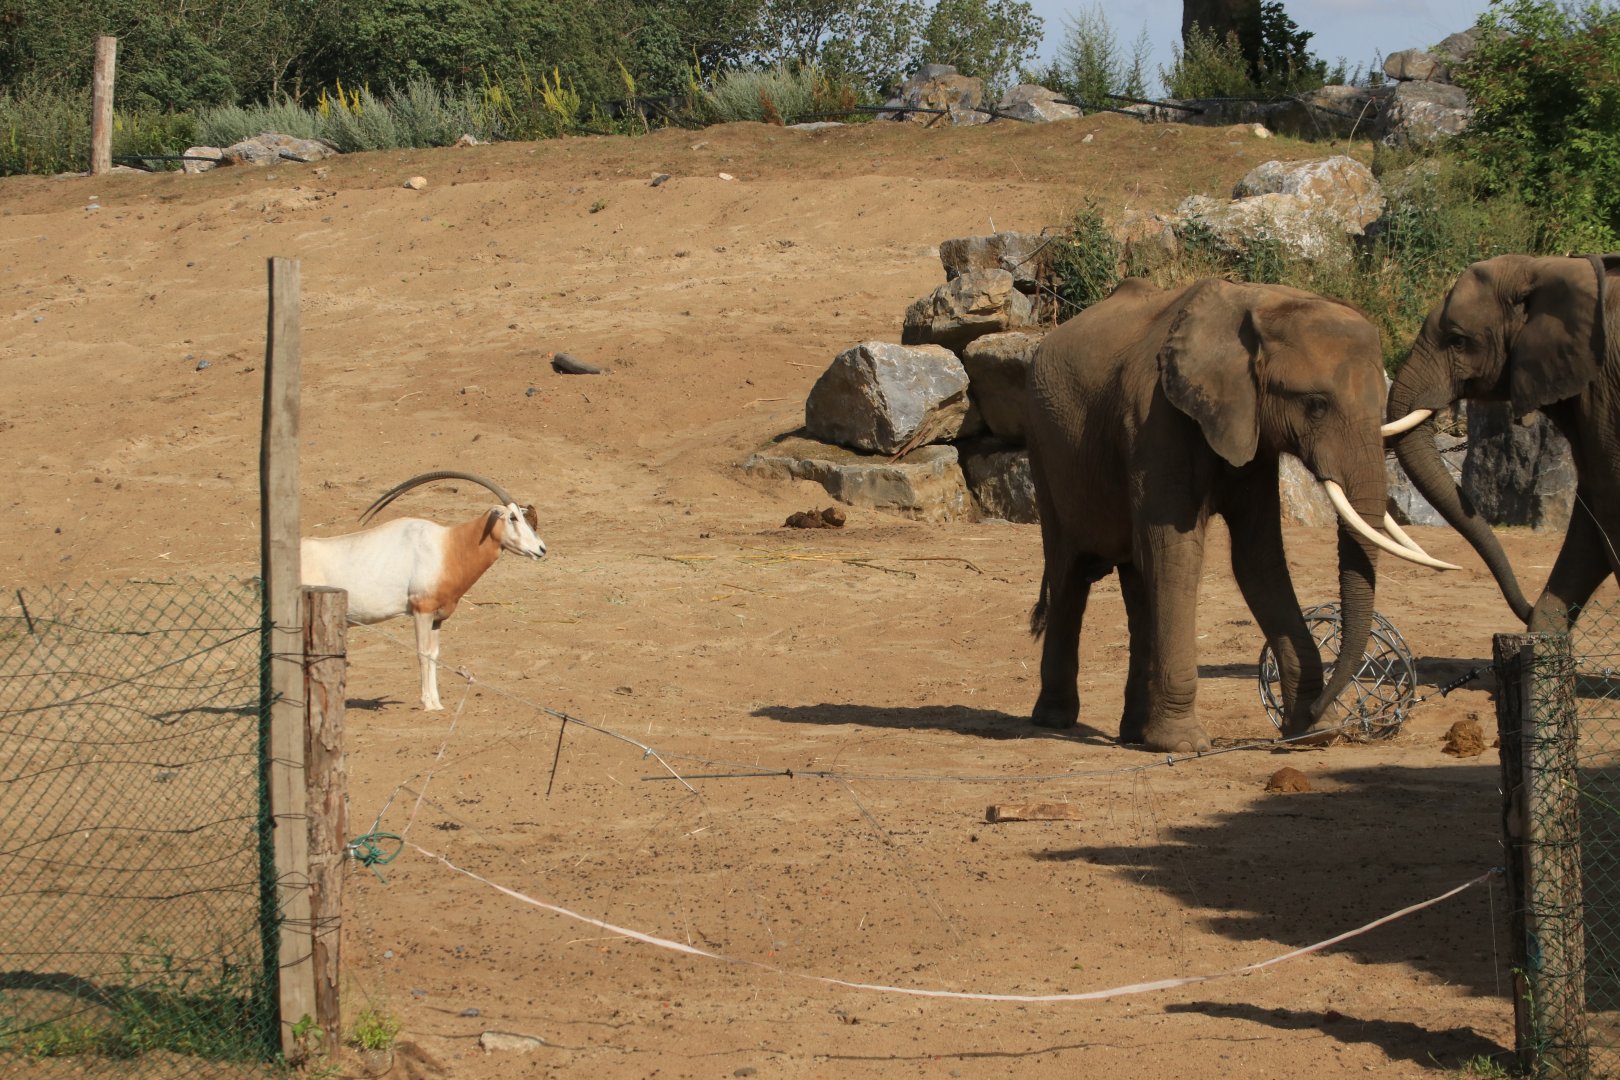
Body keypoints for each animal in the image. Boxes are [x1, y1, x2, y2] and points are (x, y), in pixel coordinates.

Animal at [1026, 277, 1455, 753]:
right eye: (1316, 404)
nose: (1326, 708)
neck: (1257, 302)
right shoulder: (1155, 418)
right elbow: (1175, 554)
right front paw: (1186, 746)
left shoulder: (1253, 433)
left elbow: (1259, 559)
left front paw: (1310, 733)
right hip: (1044, 449)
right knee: (1069, 573)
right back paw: (1056, 721)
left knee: (1137, 580)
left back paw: (1135, 734)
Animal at [1385, 253, 1620, 632]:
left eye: (1457, 340)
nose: (1525, 605)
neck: (1546, 267)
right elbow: (1591, 521)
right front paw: (1542, 638)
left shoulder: (1609, 395)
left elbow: (1609, 510)